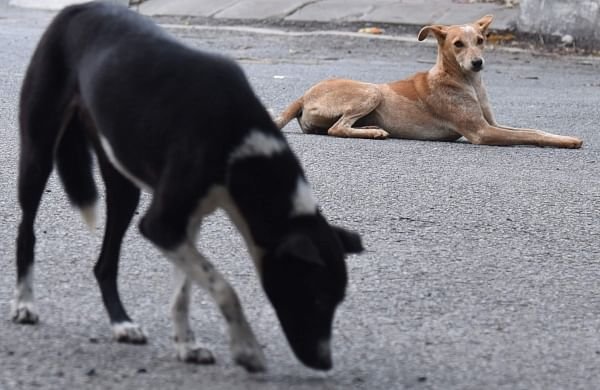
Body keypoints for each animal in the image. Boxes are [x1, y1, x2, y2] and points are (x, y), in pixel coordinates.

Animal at [11, 3, 364, 374]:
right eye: (317, 297)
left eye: (337, 299)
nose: (324, 363)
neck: (239, 150)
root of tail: (77, 8)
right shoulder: (161, 225)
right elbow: (224, 287)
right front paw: (246, 349)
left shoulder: (186, 223)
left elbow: (186, 290)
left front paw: (187, 345)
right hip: (37, 153)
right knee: (26, 230)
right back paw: (24, 304)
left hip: (123, 184)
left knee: (105, 263)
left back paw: (121, 323)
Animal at [276, 16, 580, 149]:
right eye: (458, 44)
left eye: (481, 40)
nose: (478, 63)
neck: (467, 82)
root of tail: (303, 96)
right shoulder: (481, 132)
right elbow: (528, 135)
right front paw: (567, 142)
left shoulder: (491, 123)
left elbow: (532, 129)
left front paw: (562, 137)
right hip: (371, 91)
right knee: (337, 128)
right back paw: (373, 133)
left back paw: (373, 128)